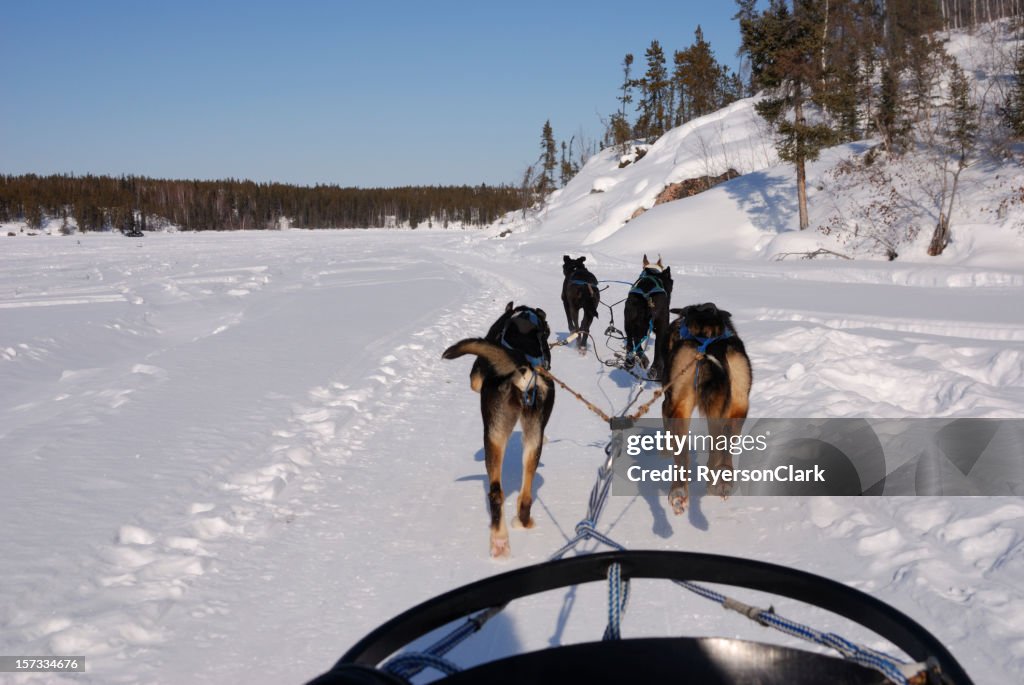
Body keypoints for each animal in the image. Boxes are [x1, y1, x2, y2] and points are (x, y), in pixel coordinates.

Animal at [438, 301, 552, 557]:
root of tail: (523, 370)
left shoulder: (476, 376)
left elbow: (473, 383)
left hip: (494, 436)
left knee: (496, 493)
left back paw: (499, 541)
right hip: (533, 438)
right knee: (525, 495)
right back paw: (522, 522)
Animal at [659, 303, 749, 511]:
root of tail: (710, 343)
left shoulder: (668, 403)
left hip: (679, 405)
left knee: (682, 455)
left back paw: (679, 491)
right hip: (738, 403)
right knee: (723, 445)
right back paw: (721, 481)